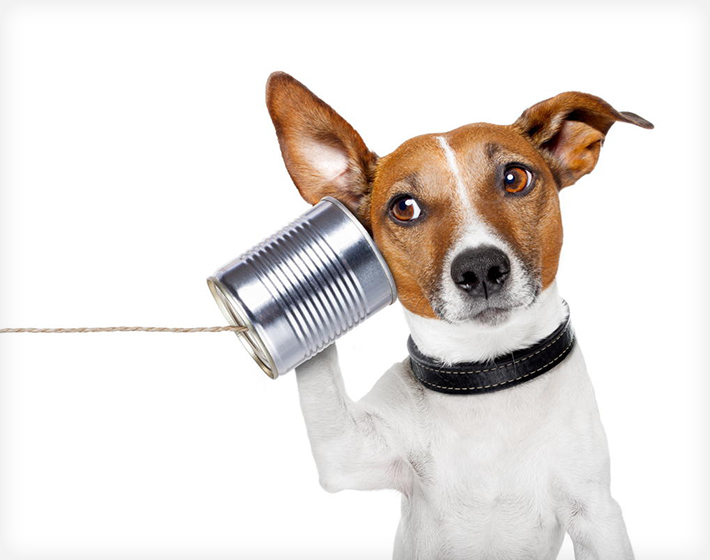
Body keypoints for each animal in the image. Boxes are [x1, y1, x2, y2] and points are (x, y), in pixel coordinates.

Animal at [266, 71, 652, 560]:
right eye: (404, 207)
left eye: (515, 178)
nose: (480, 267)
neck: (489, 374)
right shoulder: (349, 452)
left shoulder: (595, 512)